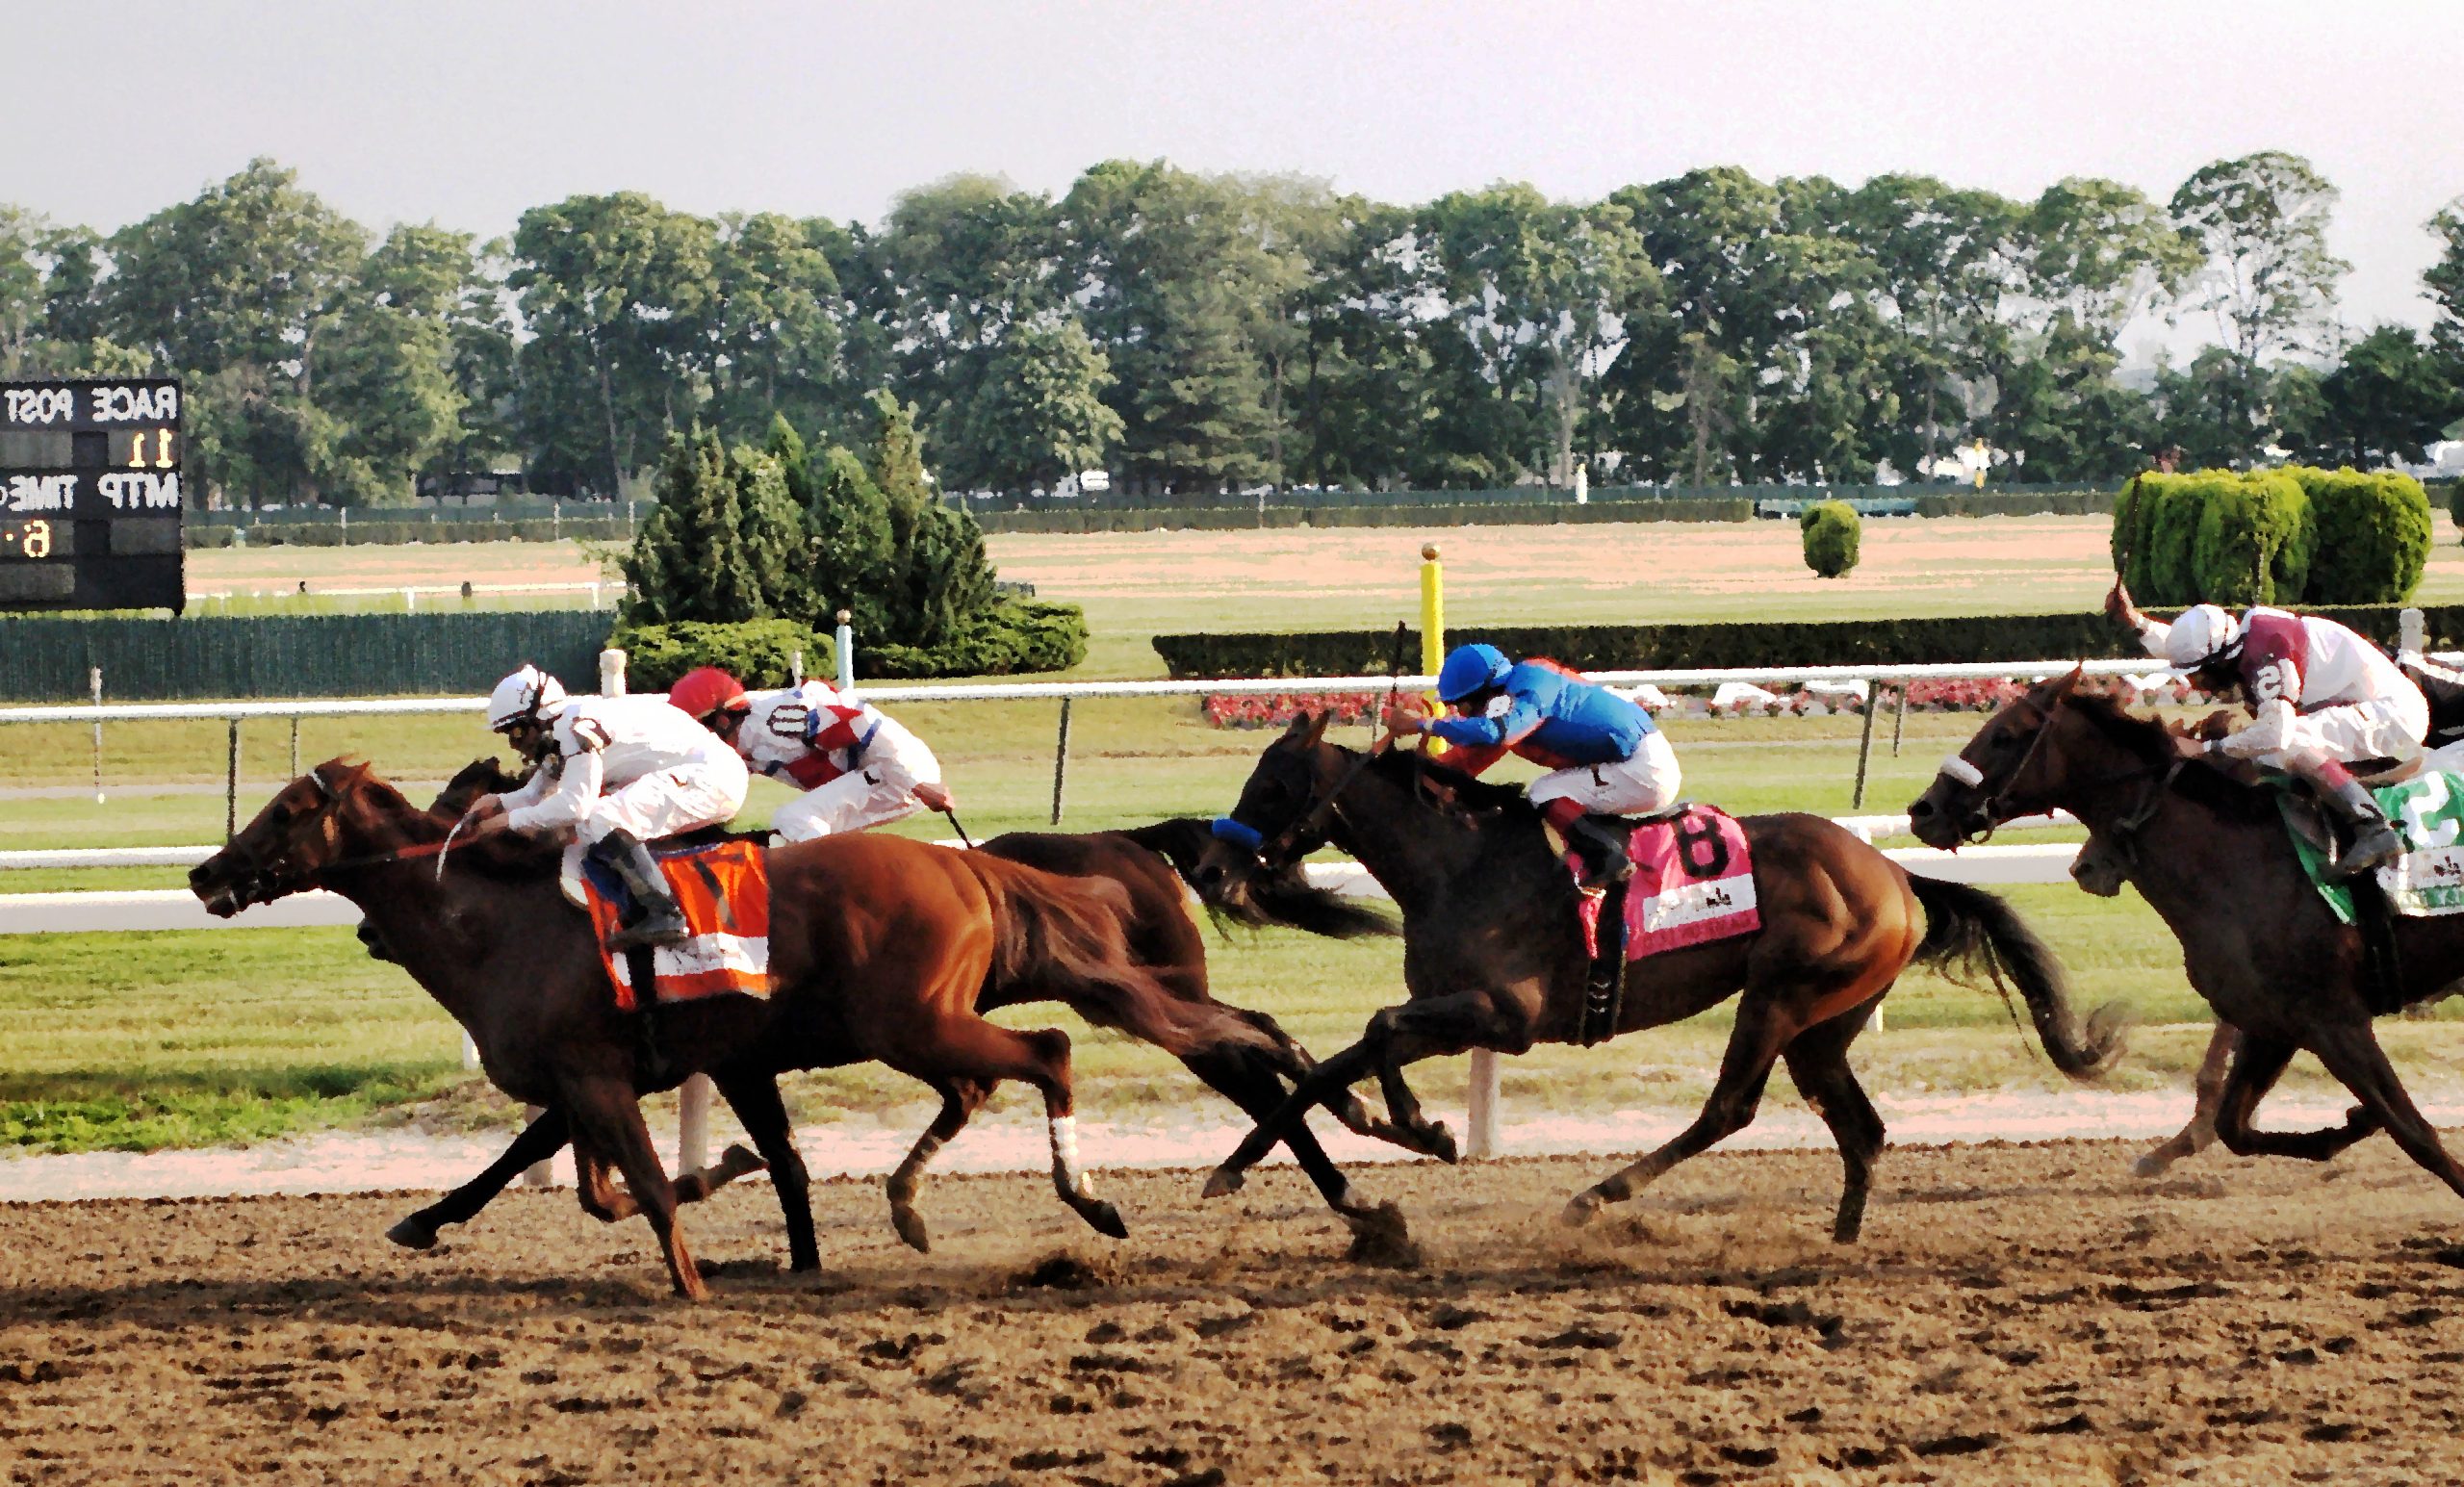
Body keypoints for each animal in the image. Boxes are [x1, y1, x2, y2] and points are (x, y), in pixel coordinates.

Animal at [192, 762, 1270, 1299]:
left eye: (284, 813)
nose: (206, 873)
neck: (500, 917)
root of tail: (967, 865)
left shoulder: (599, 1075)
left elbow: (628, 1186)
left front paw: (692, 1274)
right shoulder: (609, 1074)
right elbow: (584, 1179)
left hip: (913, 1022)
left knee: (1046, 1053)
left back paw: (1087, 1197)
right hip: (924, 1023)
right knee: (997, 1078)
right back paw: (916, 1201)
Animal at [1187, 713, 2118, 1250]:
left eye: (1273, 784)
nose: (1210, 868)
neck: (1458, 862)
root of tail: (1895, 873)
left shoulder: (1503, 1014)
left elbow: (1378, 1029)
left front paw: (1424, 1126)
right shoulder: (1452, 1010)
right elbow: (1336, 1058)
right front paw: (1240, 1163)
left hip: (1780, 996)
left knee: (1730, 1108)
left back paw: (1597, 1195)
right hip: (1826, 1023)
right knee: (1861, 1125)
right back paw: (1842, 1237)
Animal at [1912, 674, 2464, 1206]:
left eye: (2004, 735)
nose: (1924, 810)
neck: (2239, 859)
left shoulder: (2334, 1019)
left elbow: (2415, 1134)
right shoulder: (2274, 1024)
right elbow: (2234, 1126)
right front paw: (2347, 1125)